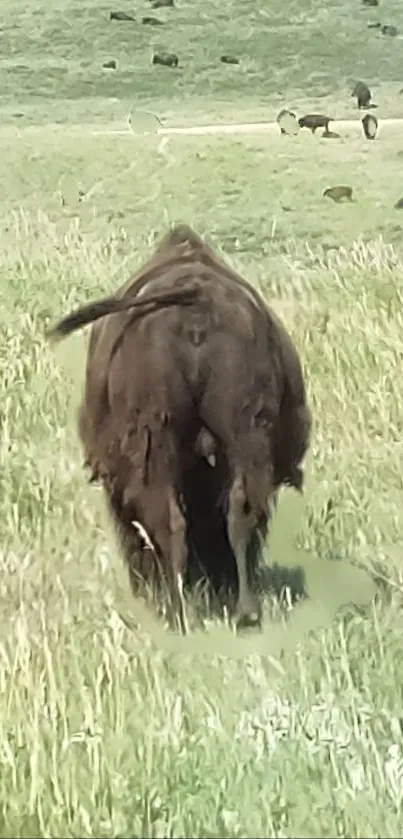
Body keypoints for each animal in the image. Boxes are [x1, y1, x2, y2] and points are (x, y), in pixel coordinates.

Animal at [48, 226, 312, 632]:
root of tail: (196, 302)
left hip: (155, 442)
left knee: (168, 520)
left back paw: (176, 610)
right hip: (245, 432)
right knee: (240, 511)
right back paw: (245, 610)